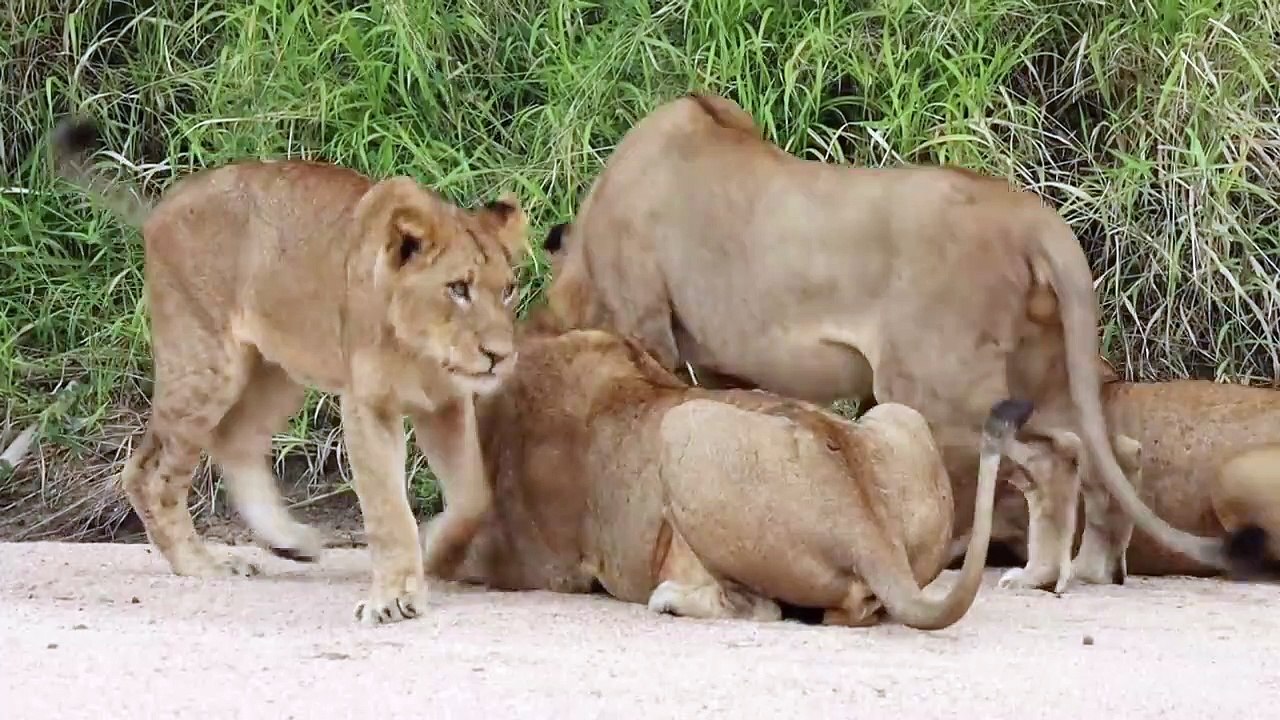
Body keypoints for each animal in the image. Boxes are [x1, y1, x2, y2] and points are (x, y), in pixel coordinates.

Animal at [49, 116, 529, 625]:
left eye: (508, 290)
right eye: (458, 288)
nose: (500, 355)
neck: (422, 352)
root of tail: (166, 203)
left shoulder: (445, 404)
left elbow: (473, 496)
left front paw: (435, 542)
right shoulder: (367, 405)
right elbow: (386, 506)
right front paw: (395, 596)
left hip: (278, 371)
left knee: (234, 440)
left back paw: (287, 540)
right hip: (205, 365)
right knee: (149, 472)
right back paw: (203, 564)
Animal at [429, 327, 1033, 631]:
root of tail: (871, 532)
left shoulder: (530, 561)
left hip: (683, 424)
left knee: (758, 607)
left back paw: (671, 599)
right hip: (899, 415)